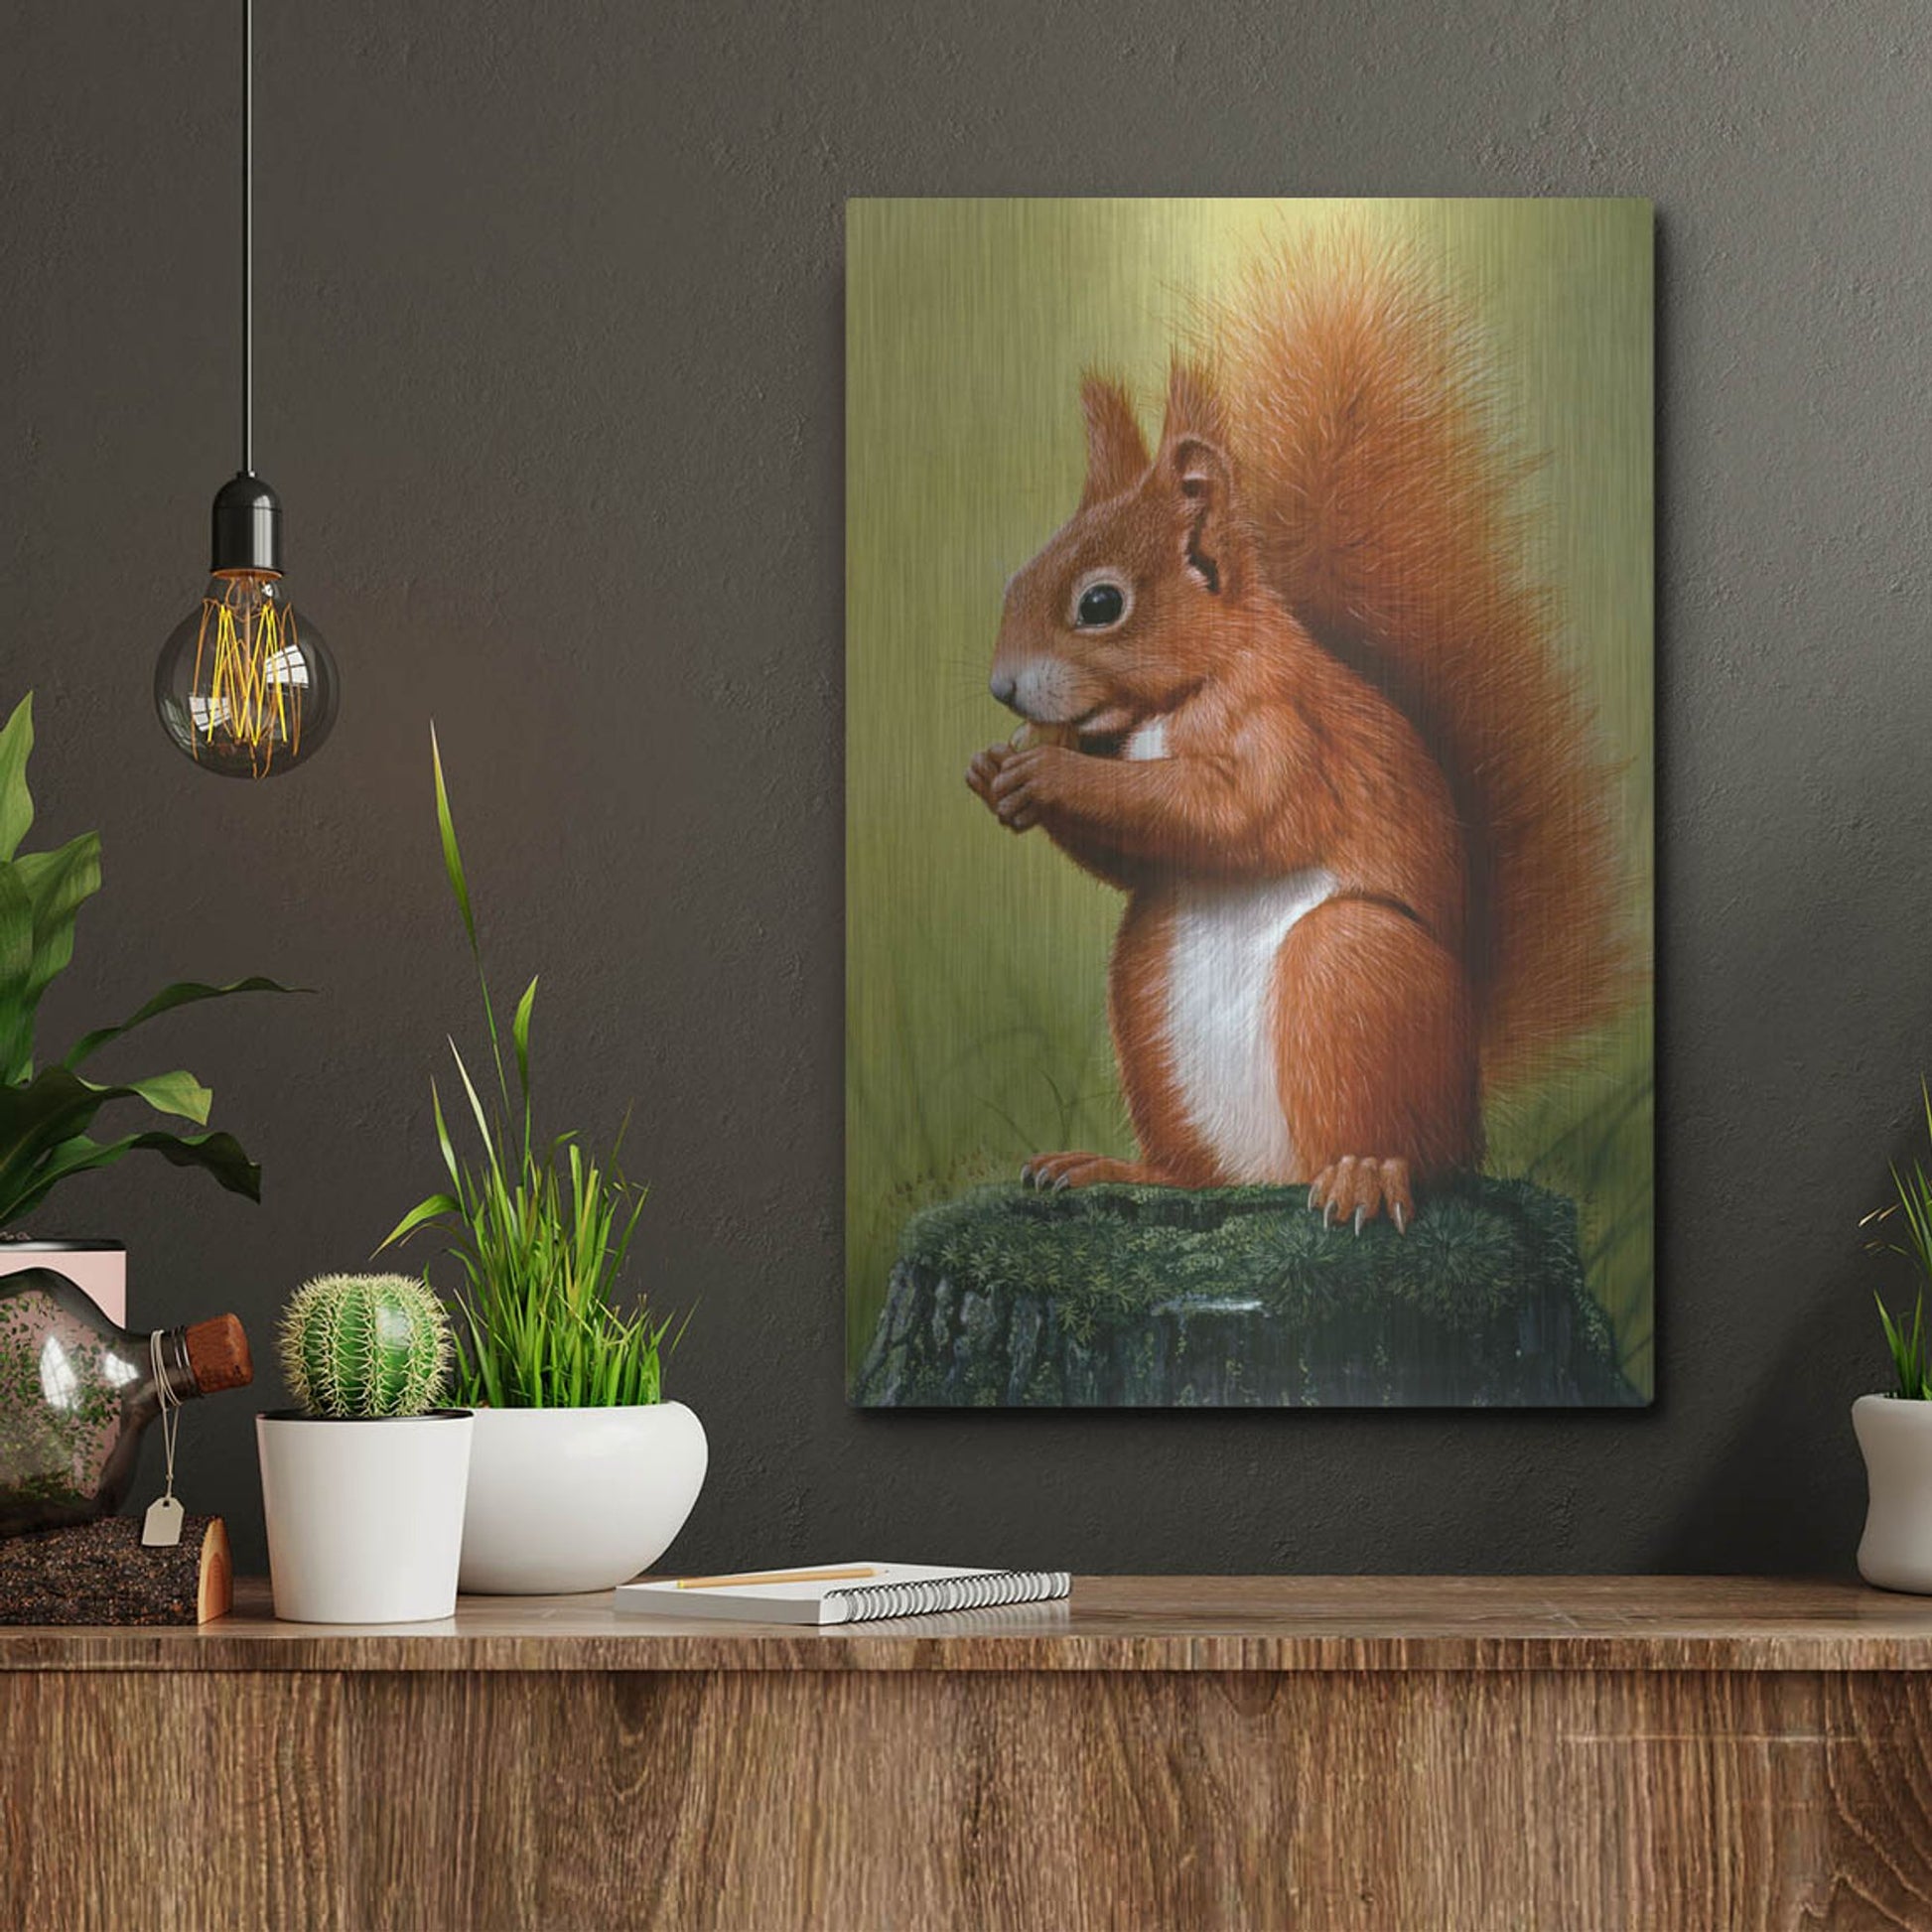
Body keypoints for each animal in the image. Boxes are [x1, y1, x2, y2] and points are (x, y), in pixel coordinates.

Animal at [966, 231, 1628, 1232]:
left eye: (1100, 604)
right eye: (1015, 576)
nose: (1002, 689)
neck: (1176, 701)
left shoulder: (1287, 731)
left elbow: (1236, 814)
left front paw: (1048, 776)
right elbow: (1136, 855)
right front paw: (996, 776)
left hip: (1352, 972)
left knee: (1407, 1149)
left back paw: (1366, 1174)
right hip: (1145, 995)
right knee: (1200, 1173)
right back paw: (1120, 1168)